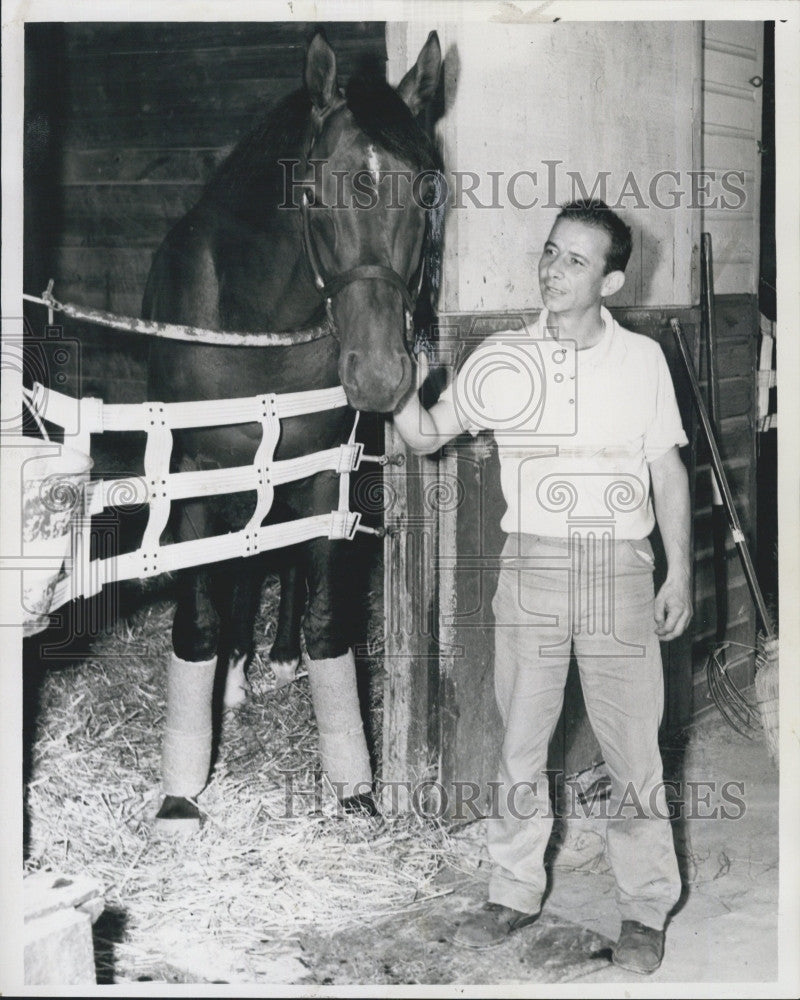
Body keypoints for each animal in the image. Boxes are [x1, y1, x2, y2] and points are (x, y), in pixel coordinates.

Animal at [144, 31, 444, 828]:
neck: (255, 326)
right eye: (313, 194)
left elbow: (323, 616)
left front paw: (356, 787)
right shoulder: (194, 475)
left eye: (426, 192)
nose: (381, 375)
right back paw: (235, 676)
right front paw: (182, 791)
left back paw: (271, 658)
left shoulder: (321, 473)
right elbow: (199, 620)